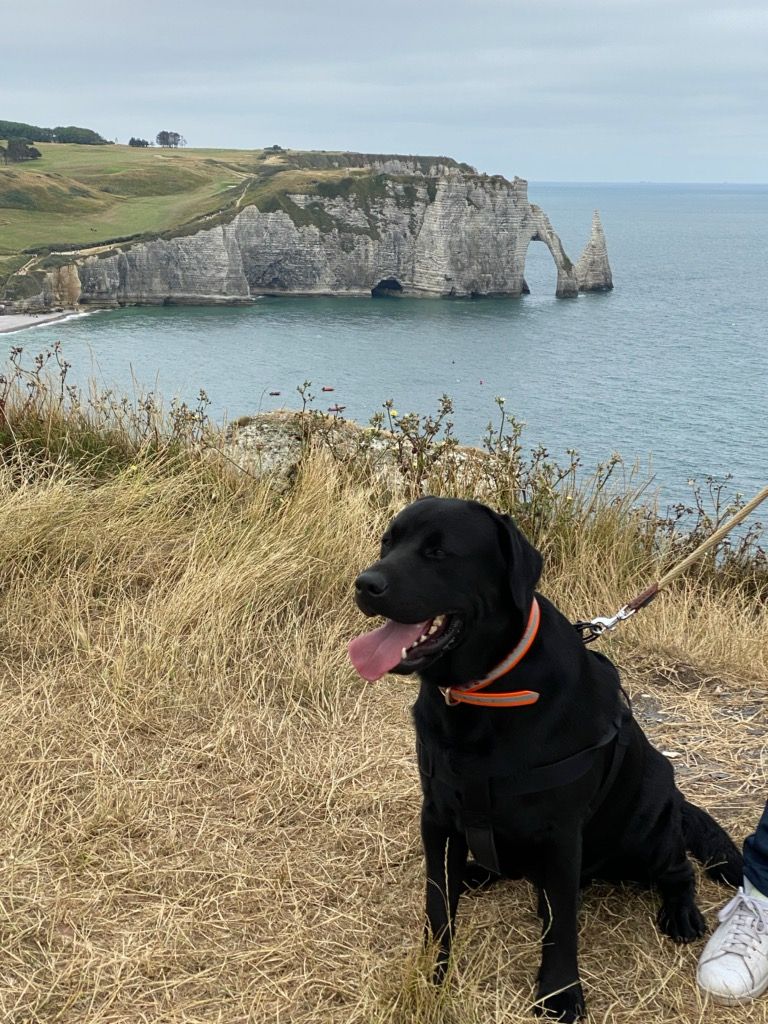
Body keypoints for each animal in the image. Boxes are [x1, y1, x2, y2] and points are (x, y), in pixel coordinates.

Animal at [350, 493, 745, 1015]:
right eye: (387, 542)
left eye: (438, 552)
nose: (364, 584)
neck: (485, 693)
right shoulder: (436, 817)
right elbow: (438, 905)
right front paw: (431, 974)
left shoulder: (560, 834)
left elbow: (561, 927)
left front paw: (560, 993)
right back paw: (475, 873)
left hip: (647, 831)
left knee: (678, 870)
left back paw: (681, 913)